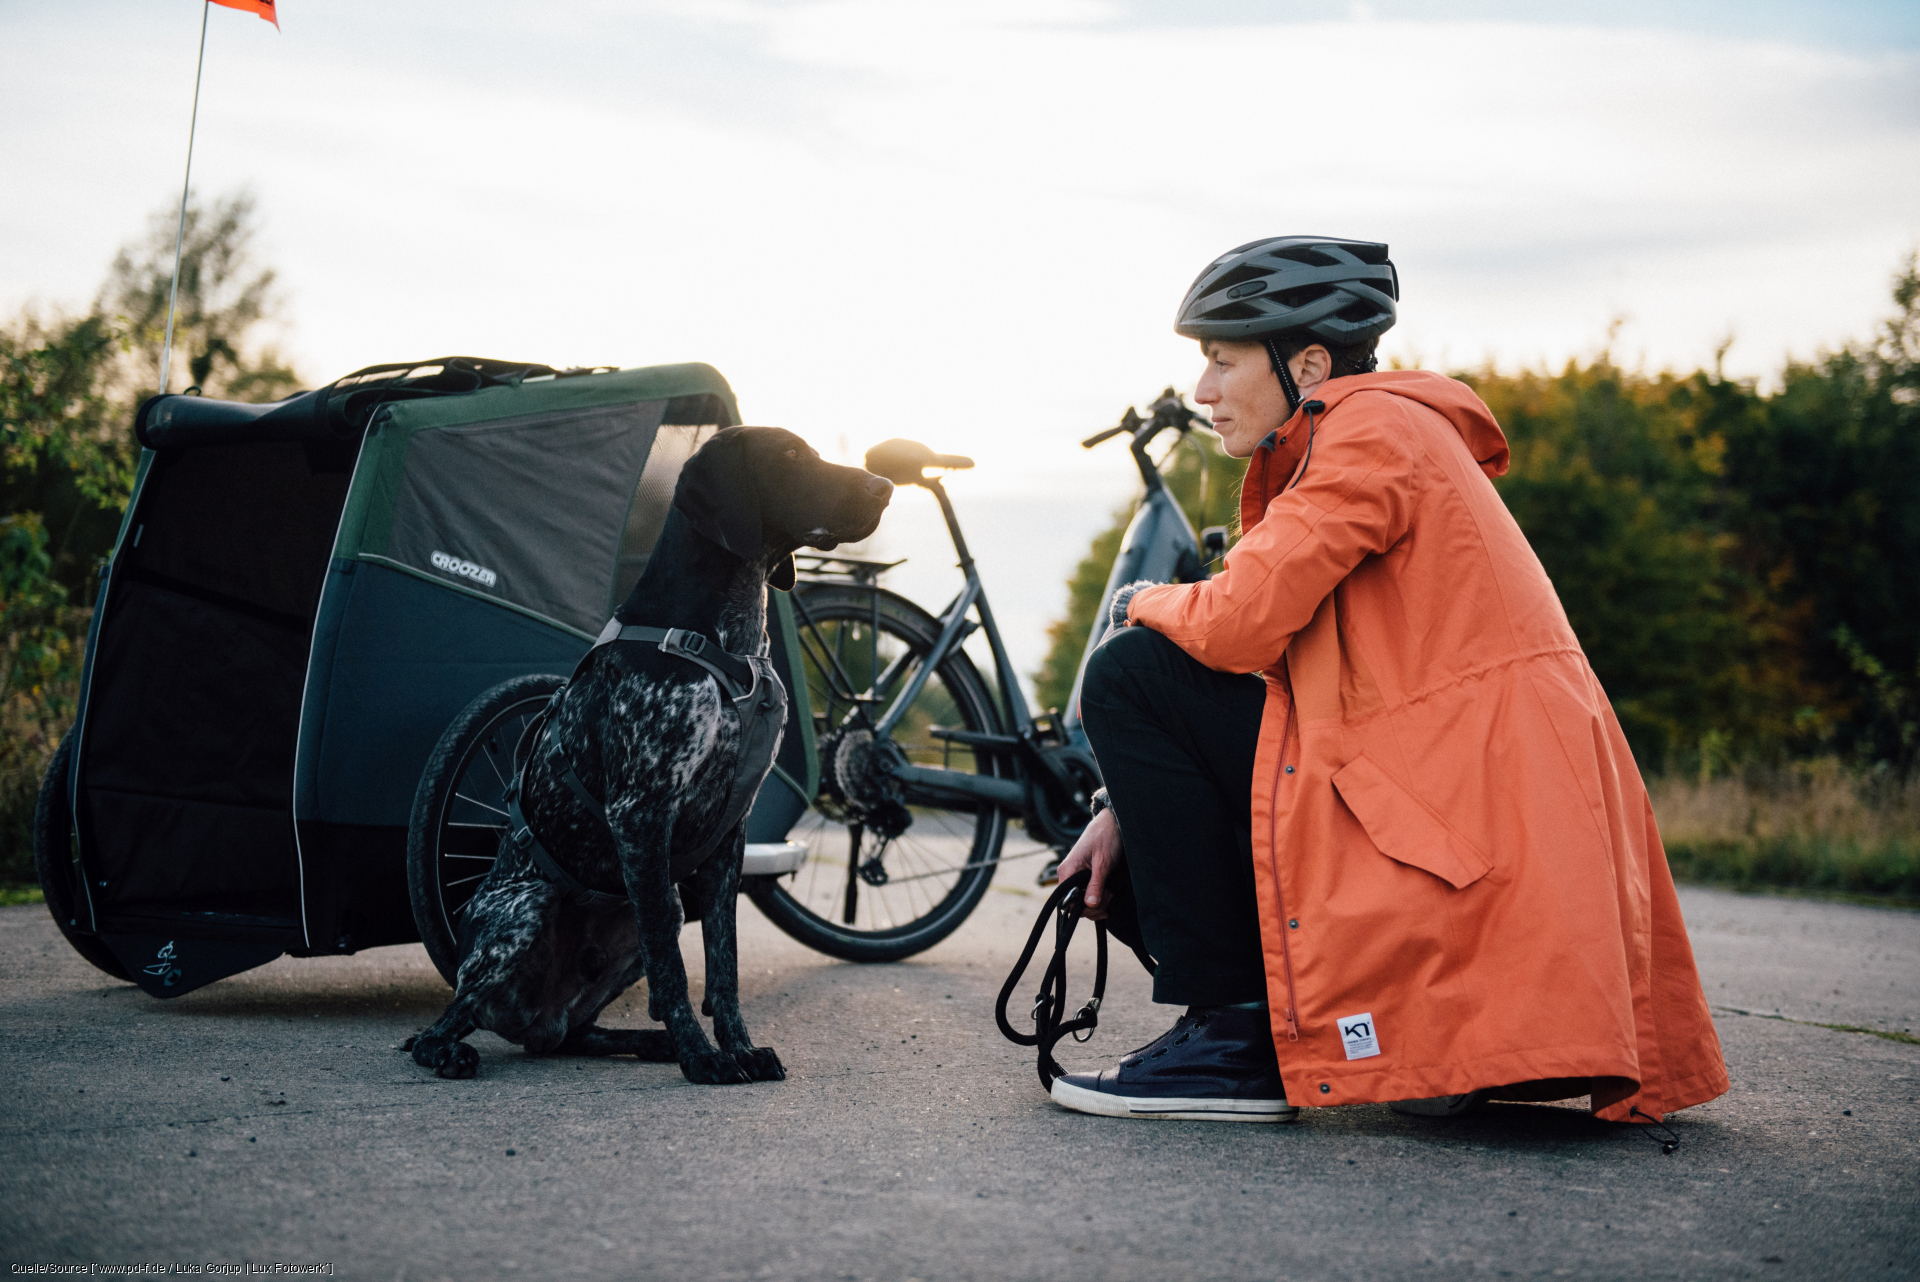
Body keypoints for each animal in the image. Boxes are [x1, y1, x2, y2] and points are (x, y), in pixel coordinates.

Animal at [403, 427, 890, 1082]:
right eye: (790, 457)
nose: (884, 486)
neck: (722, 642)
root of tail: (535, 1016)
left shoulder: (728, 836)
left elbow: (723, 965)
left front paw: (736, 1048)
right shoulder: (641, 813)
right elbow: (675, 968)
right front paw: (702, 1058)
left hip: (649, 917)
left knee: (571, 1034)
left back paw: (646, 1042)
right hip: (529, 907)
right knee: (451, 1017)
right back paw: (449, 1049)